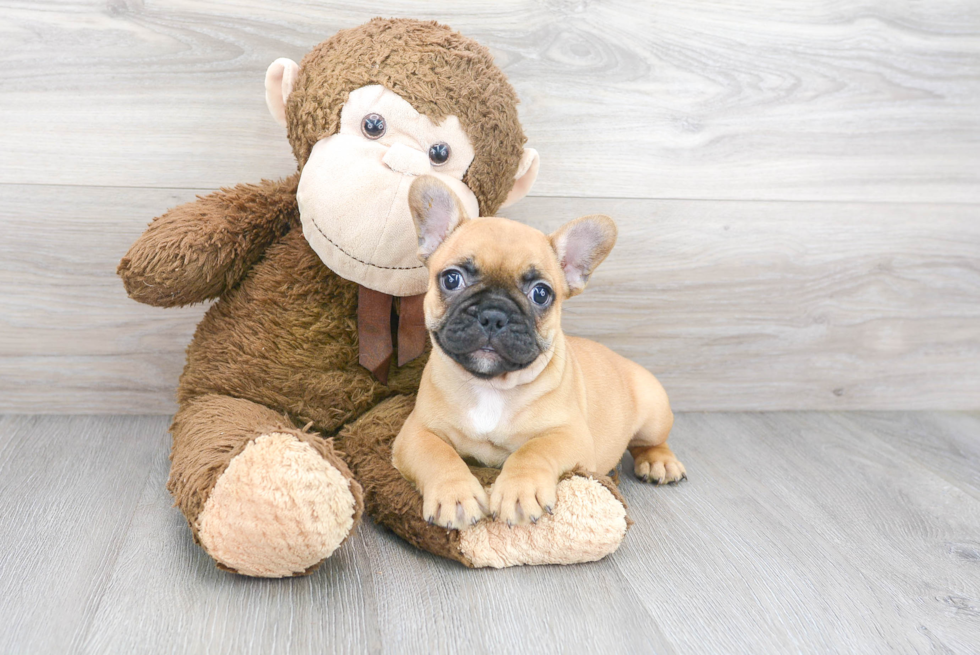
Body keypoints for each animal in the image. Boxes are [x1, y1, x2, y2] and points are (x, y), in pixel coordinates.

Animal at [394, 177, 684, 532]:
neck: (492, 386)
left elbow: (533, 449)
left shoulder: (569, 435)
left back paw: (660, 462)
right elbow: (438, 453)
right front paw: (455, 494)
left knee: (650, 442)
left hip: (654, 409)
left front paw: (520, 490)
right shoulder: (415, 432)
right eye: (451, 279)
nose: (494, 314)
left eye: (541, 294)